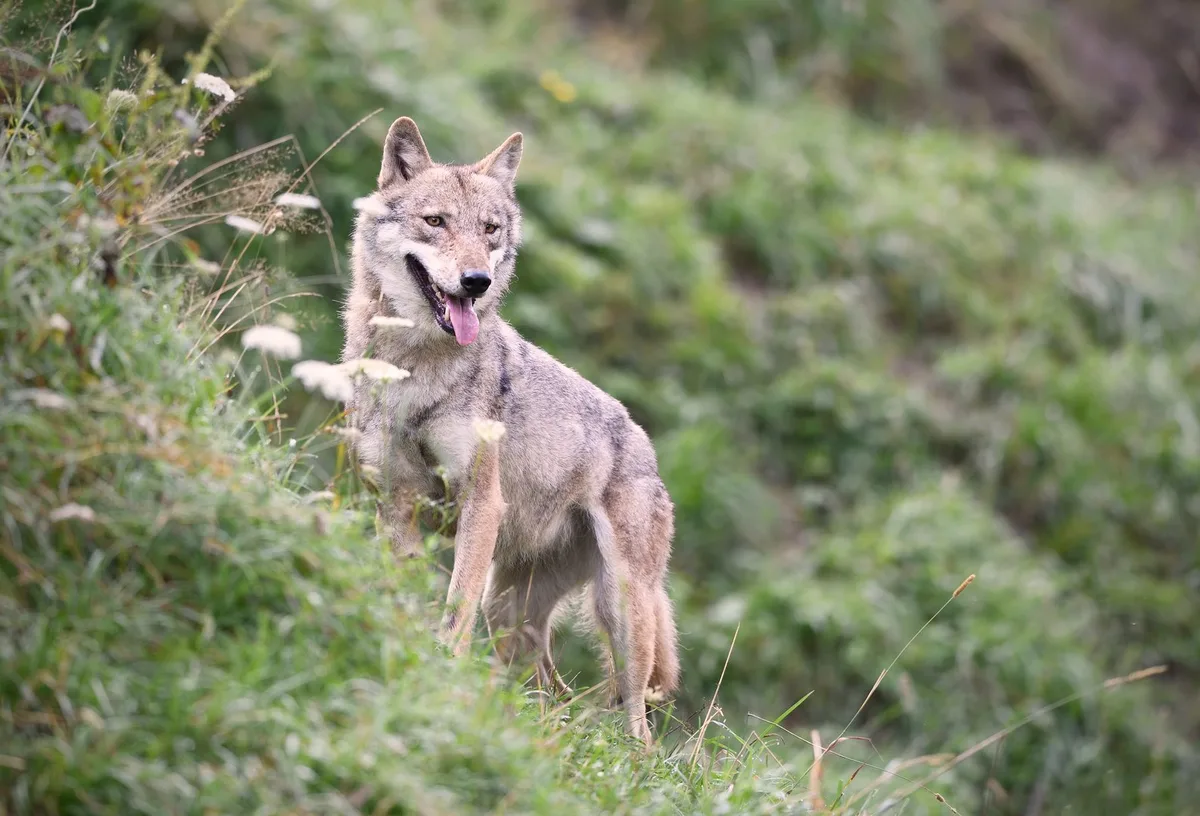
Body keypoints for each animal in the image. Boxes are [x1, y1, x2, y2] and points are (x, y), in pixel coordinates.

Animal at [339, 116, 680, 746]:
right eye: (436, 221)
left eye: (490, 229)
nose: (475, 281)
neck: (413, 369)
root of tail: (645, 443)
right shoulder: (396, 501)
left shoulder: (481, 504)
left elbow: (454, 609)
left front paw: (438, 675)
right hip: (511, 614)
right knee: (553, 690)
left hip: (620, 611)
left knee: (636, 717)